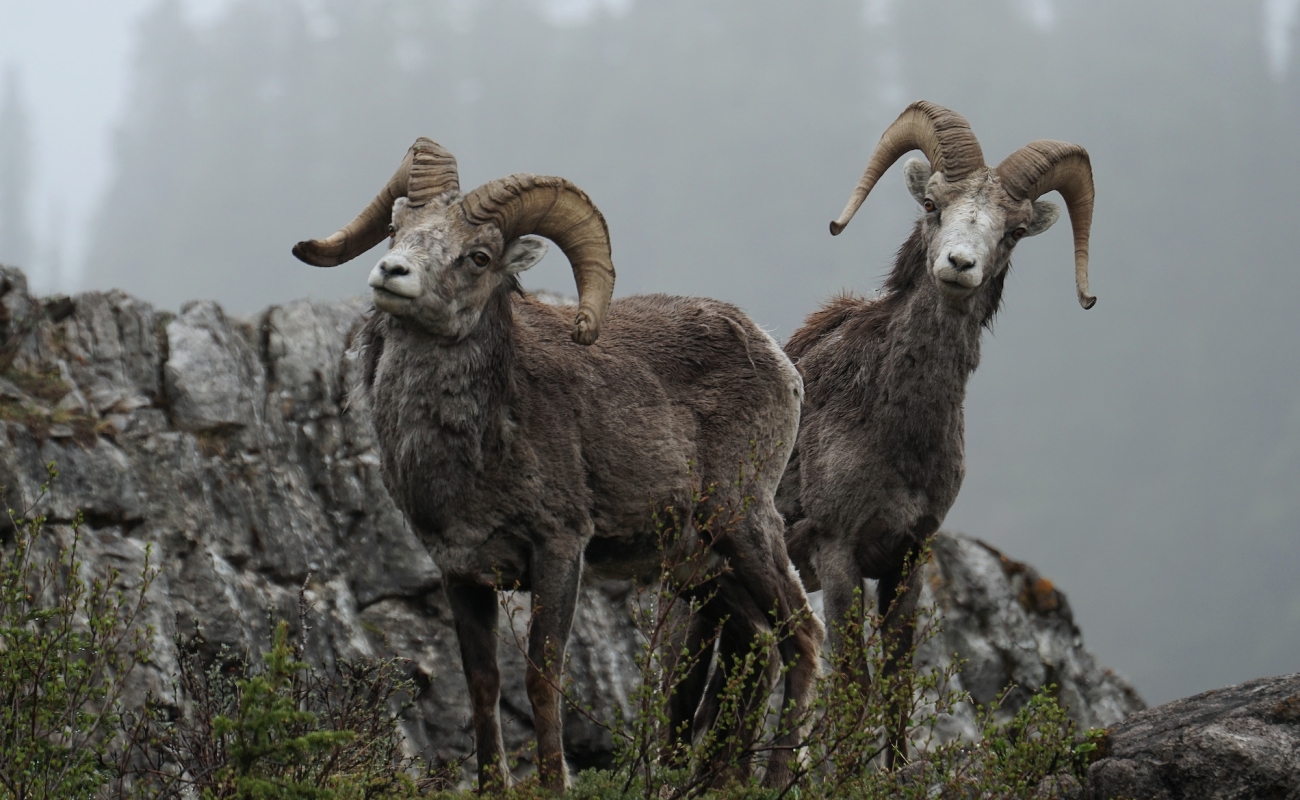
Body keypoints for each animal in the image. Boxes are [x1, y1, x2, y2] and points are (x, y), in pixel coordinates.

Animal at [291, 138, 823, 792]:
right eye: (397, 228)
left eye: (478, 256)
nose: (392, 273)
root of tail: (779, 359)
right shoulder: (462, 573)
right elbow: (483, 685)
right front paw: (494, 786)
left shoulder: (559, 550)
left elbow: (542, 679)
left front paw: (553, 782)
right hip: (706, 571)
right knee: (761, 645)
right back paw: (713, 781)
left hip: (743, 525)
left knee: (803, 639)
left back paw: (774, 779)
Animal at [776, 101, 1096, 765]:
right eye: (933, 204)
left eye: (1012, 231)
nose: (959, 265)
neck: (898, 437)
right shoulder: (838, 553)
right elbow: (854, 689)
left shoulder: (908, 558)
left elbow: (897, 692)